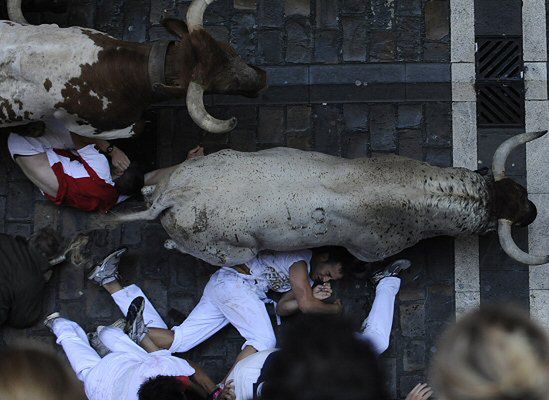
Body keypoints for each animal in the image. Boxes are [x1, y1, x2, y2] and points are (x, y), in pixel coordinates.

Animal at [117, 131, 548, 268]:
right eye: (491, 227)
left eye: (524, 193)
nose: (533, 212)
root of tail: (175, 199)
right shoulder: (371, 251)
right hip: (233, 253)